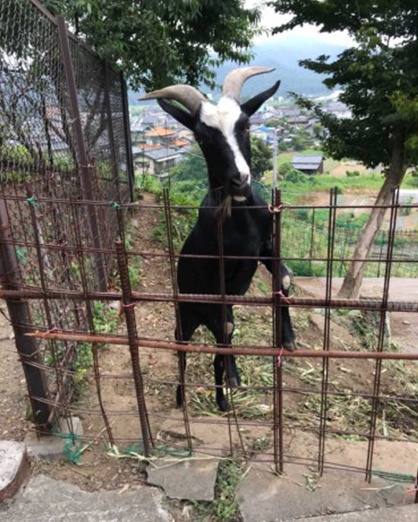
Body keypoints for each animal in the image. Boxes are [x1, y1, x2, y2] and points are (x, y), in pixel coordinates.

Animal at [139, 65, 296, 408]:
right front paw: (236, 376)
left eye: (246, 125)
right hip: (187, 314)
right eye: (201, 136)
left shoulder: (265, 246)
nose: (240, 180)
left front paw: (288, 337)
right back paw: (182, 397)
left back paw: (222, 401)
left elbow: (285, 278)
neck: (240, 220)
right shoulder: (216, 277)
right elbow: (227, 326)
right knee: (184, 350)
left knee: (216, 352)